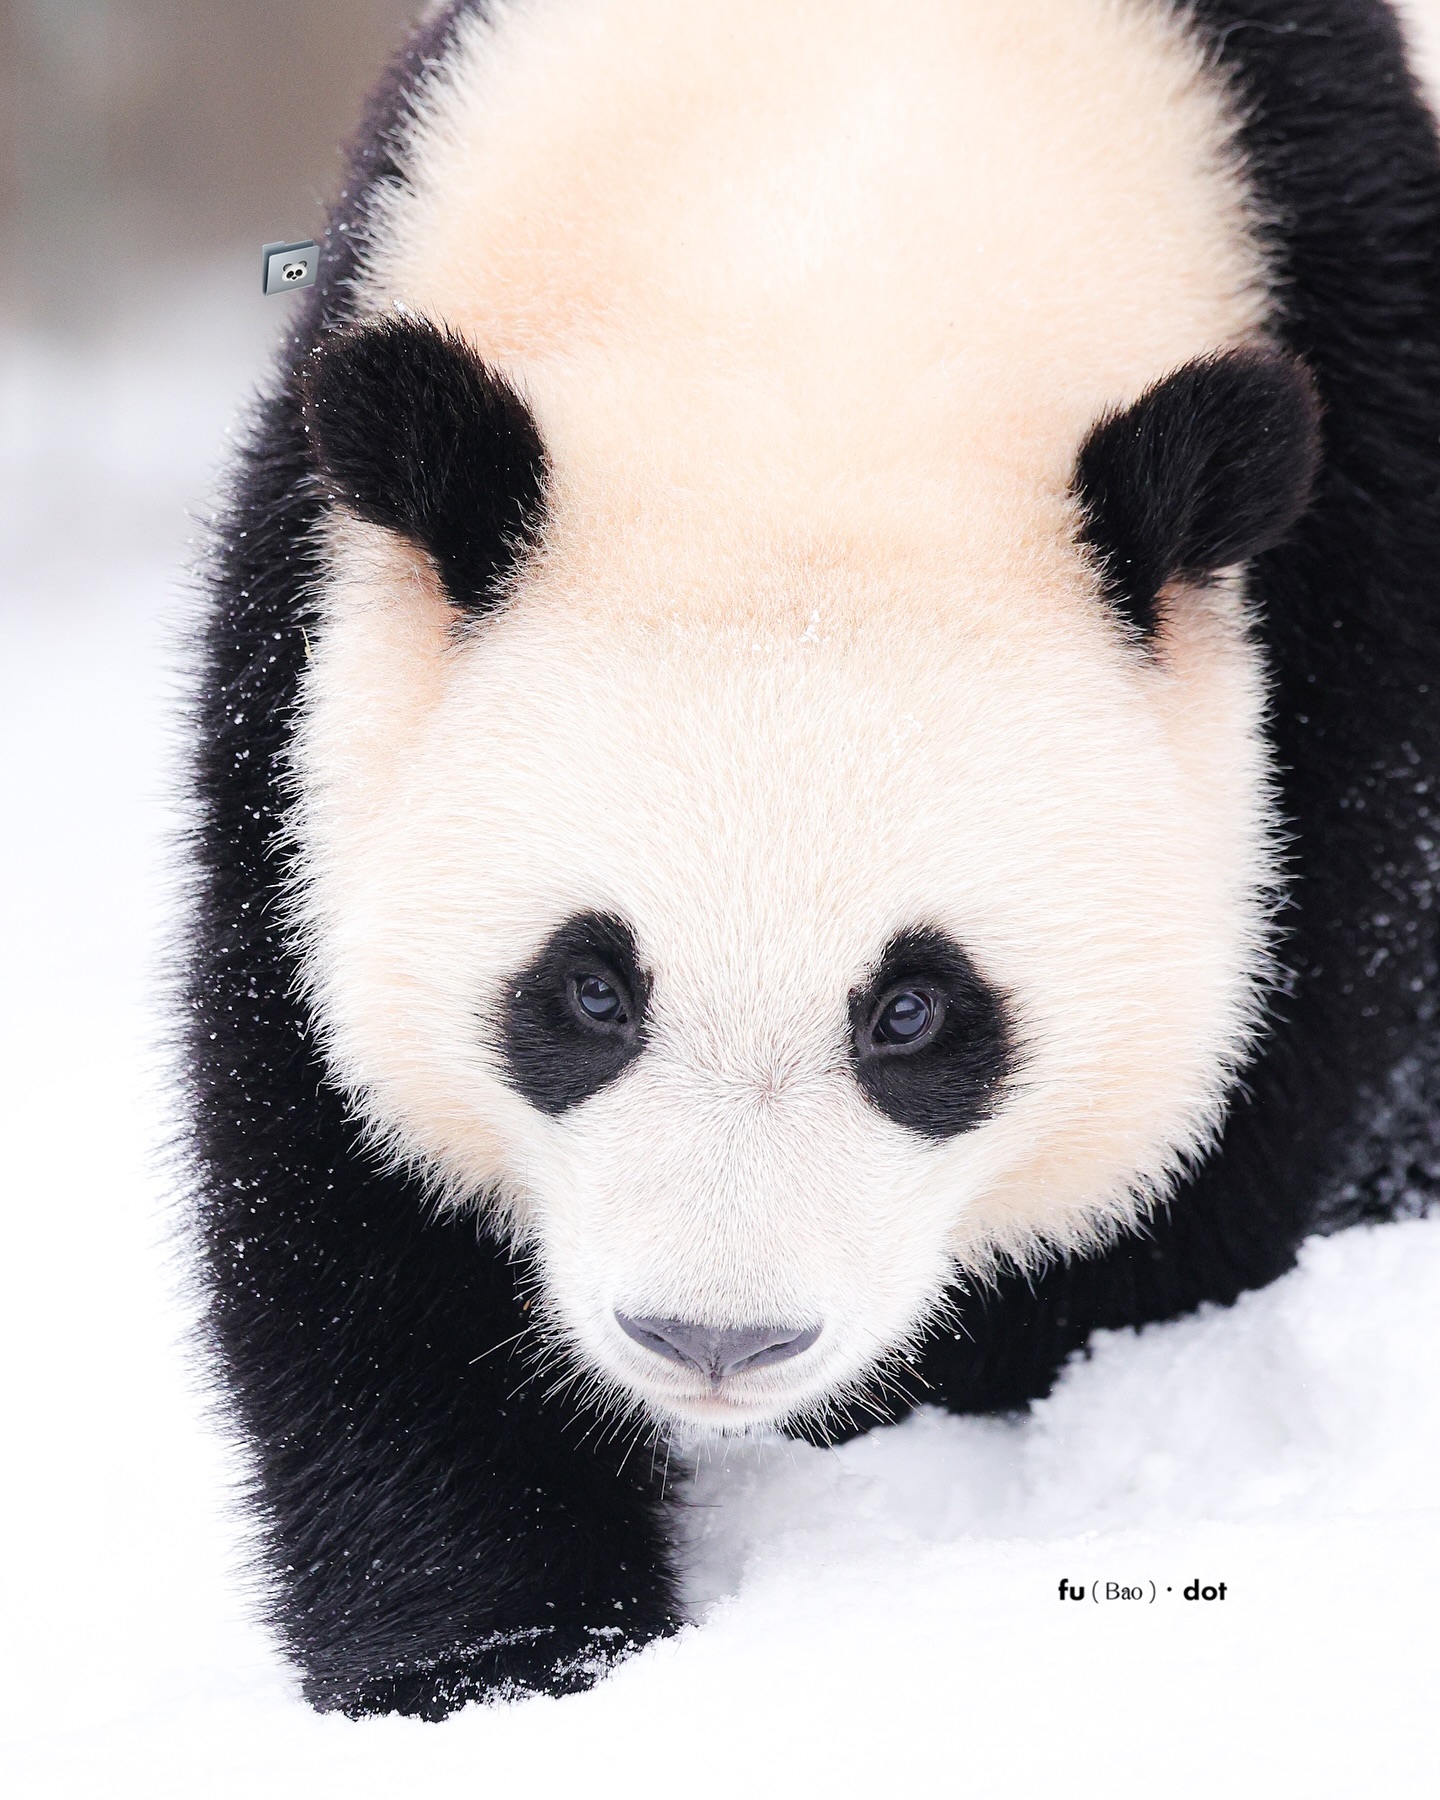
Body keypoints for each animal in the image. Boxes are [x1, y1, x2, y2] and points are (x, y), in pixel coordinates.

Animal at [185, 0, 1440, 1720]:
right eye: (587, 991)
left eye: (916, 1012)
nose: (716, 1340)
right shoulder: (329, 569)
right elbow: (334, 1167)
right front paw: (498, 1666)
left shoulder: (1362, 439)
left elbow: (1292, 1050)